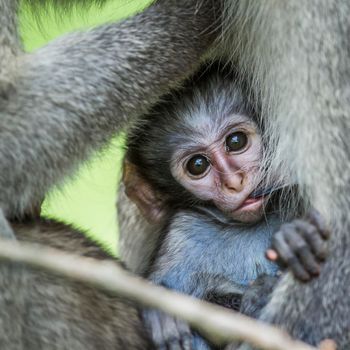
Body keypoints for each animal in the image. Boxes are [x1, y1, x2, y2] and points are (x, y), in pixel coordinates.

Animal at [123, 63, 328, 350]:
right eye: (198, 165)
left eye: (236, 141)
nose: (234, 182)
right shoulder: (182, 233)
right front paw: (161, 315)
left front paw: (297, 238)